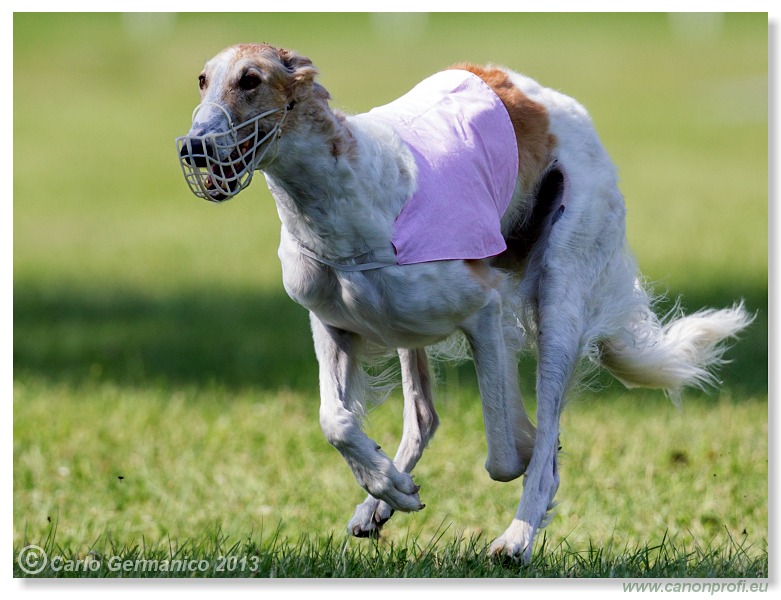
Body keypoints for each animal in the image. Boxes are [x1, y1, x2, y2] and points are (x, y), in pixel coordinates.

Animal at [175, 43, 748, 564]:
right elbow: (334, 419)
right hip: (406, 327)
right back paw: (381, 501)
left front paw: (513, 473)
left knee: (538, 442)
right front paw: (386, 485)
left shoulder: (483, 308)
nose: (192, 148)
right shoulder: (330, 322)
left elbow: (510, 454)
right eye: (202, 80)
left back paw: (515, 539)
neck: (347, 194)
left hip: (560, 292)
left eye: (251, 79)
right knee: (424, 415)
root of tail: (536, 91)